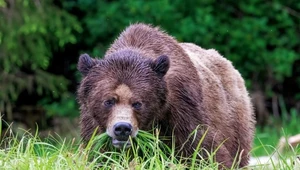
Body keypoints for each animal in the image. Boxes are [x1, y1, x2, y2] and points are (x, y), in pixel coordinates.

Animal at [76, 23, 254, 168]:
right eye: (109, 101)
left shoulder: (182, 108)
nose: (122, 128)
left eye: (137, 103)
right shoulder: (93, 124)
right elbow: (99, 153)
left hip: (233, 117)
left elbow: (204, 149)